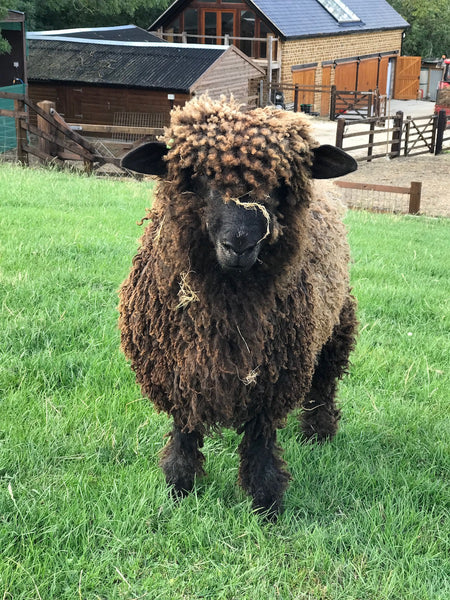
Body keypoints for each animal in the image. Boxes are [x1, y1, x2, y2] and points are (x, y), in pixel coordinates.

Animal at [119, 96, 358, 516]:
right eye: (198, 178)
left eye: (279, 186)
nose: (239, 244)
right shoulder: (177, 368)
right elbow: (184, 429)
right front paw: (178, 488)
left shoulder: (271, 376)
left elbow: (260, 440)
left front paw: (266, 504)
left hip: (337, 326)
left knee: (324, 384)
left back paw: (319, 434)